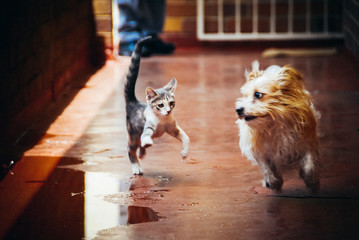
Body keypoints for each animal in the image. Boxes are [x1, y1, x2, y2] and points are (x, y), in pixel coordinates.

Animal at [124, 36, 190, 174]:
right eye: (160, 105)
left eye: (171, 103)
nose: (168, 111)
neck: (163, 120)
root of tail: (133, 102)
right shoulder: (148, 126)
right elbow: (146, 135)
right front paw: (147, 142)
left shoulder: (173, 128)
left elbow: (186, 137)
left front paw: (184, 153)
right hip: (133, 134)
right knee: (130, 149)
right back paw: (136, 167)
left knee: (139, 146)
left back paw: (142, 153)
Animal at [236, 62, 320, 193]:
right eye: (244, 96)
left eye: (257, 95)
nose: (238, 109)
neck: (275, 124)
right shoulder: (261, 151)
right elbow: (267, 167)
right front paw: (274, 182)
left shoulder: (307, 142)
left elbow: (309, 163)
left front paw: (311, 180)